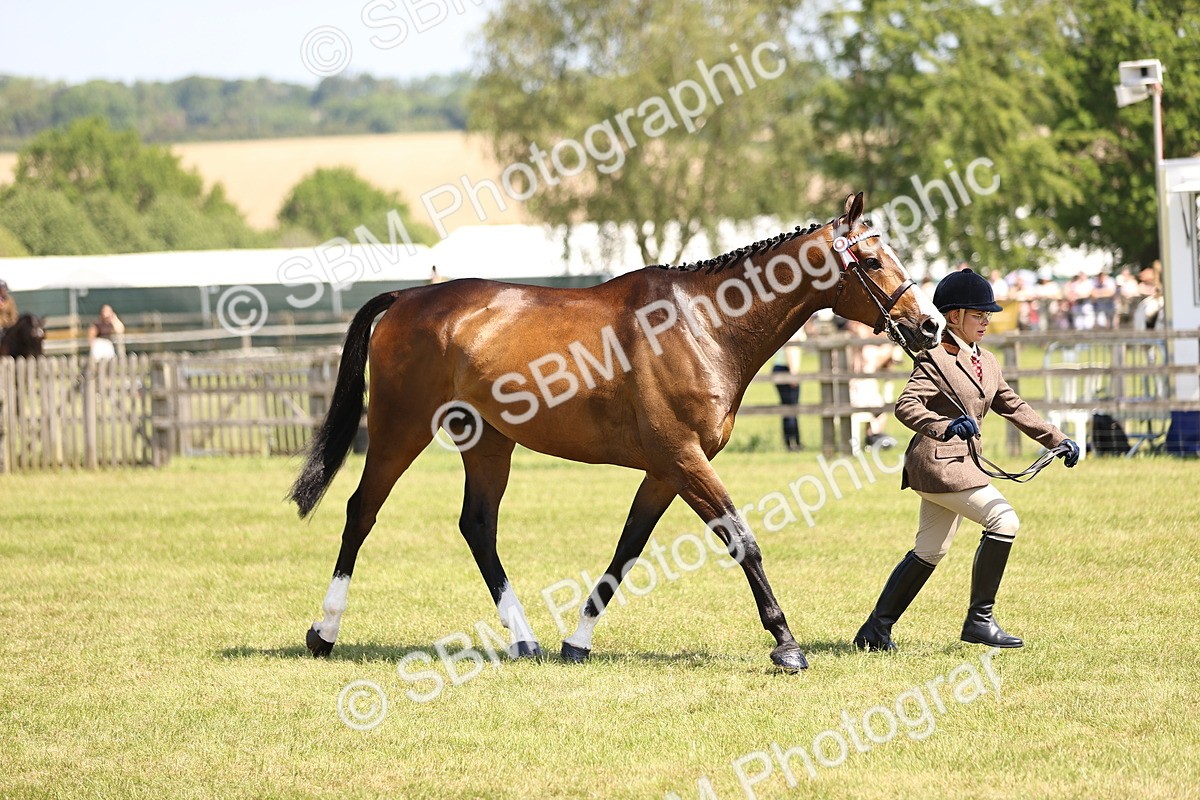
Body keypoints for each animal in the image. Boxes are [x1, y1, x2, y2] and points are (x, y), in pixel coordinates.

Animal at [290, 193, 945, 671]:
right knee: (361, 510)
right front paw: (786, 645)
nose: (931, 326)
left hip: (488, 442)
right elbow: (742, 539)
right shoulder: (684, 460)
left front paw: (576, 643)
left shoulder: (665, 470)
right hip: (400, 430)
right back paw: (324, 632)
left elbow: (627, 549)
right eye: (872, 260)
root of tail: (408, 296)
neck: (704, 324)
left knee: (477, 526)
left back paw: (525, 640)